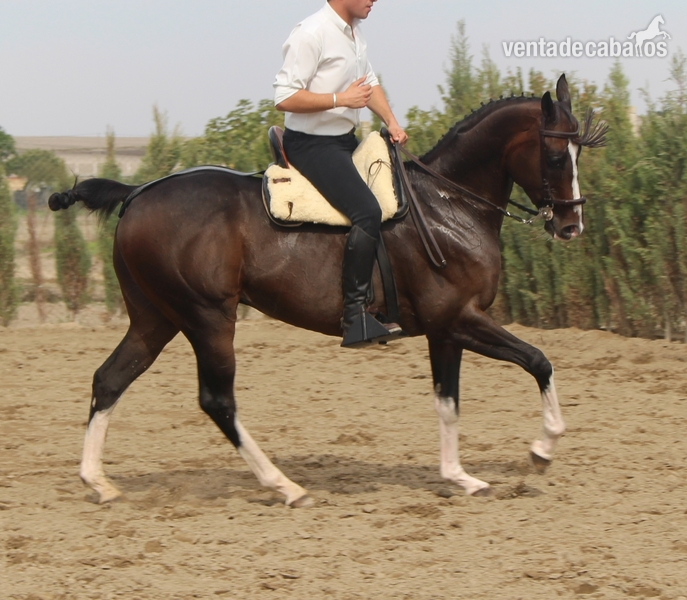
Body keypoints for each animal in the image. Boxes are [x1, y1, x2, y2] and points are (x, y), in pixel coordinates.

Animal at [49, 74, 606, 507]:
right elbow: (539, 361)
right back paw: (285, 486)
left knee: (109, 380)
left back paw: (99, 483)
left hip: (156, 319)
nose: (571, 226)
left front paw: (460, 478)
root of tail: (138, 193)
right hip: (207, 318)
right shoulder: (460, 319)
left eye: (578, 151)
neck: (449, 203)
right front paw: (542, 449)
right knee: (217, 400)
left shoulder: (445, 330)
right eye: (555, 155)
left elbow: (448, 402)